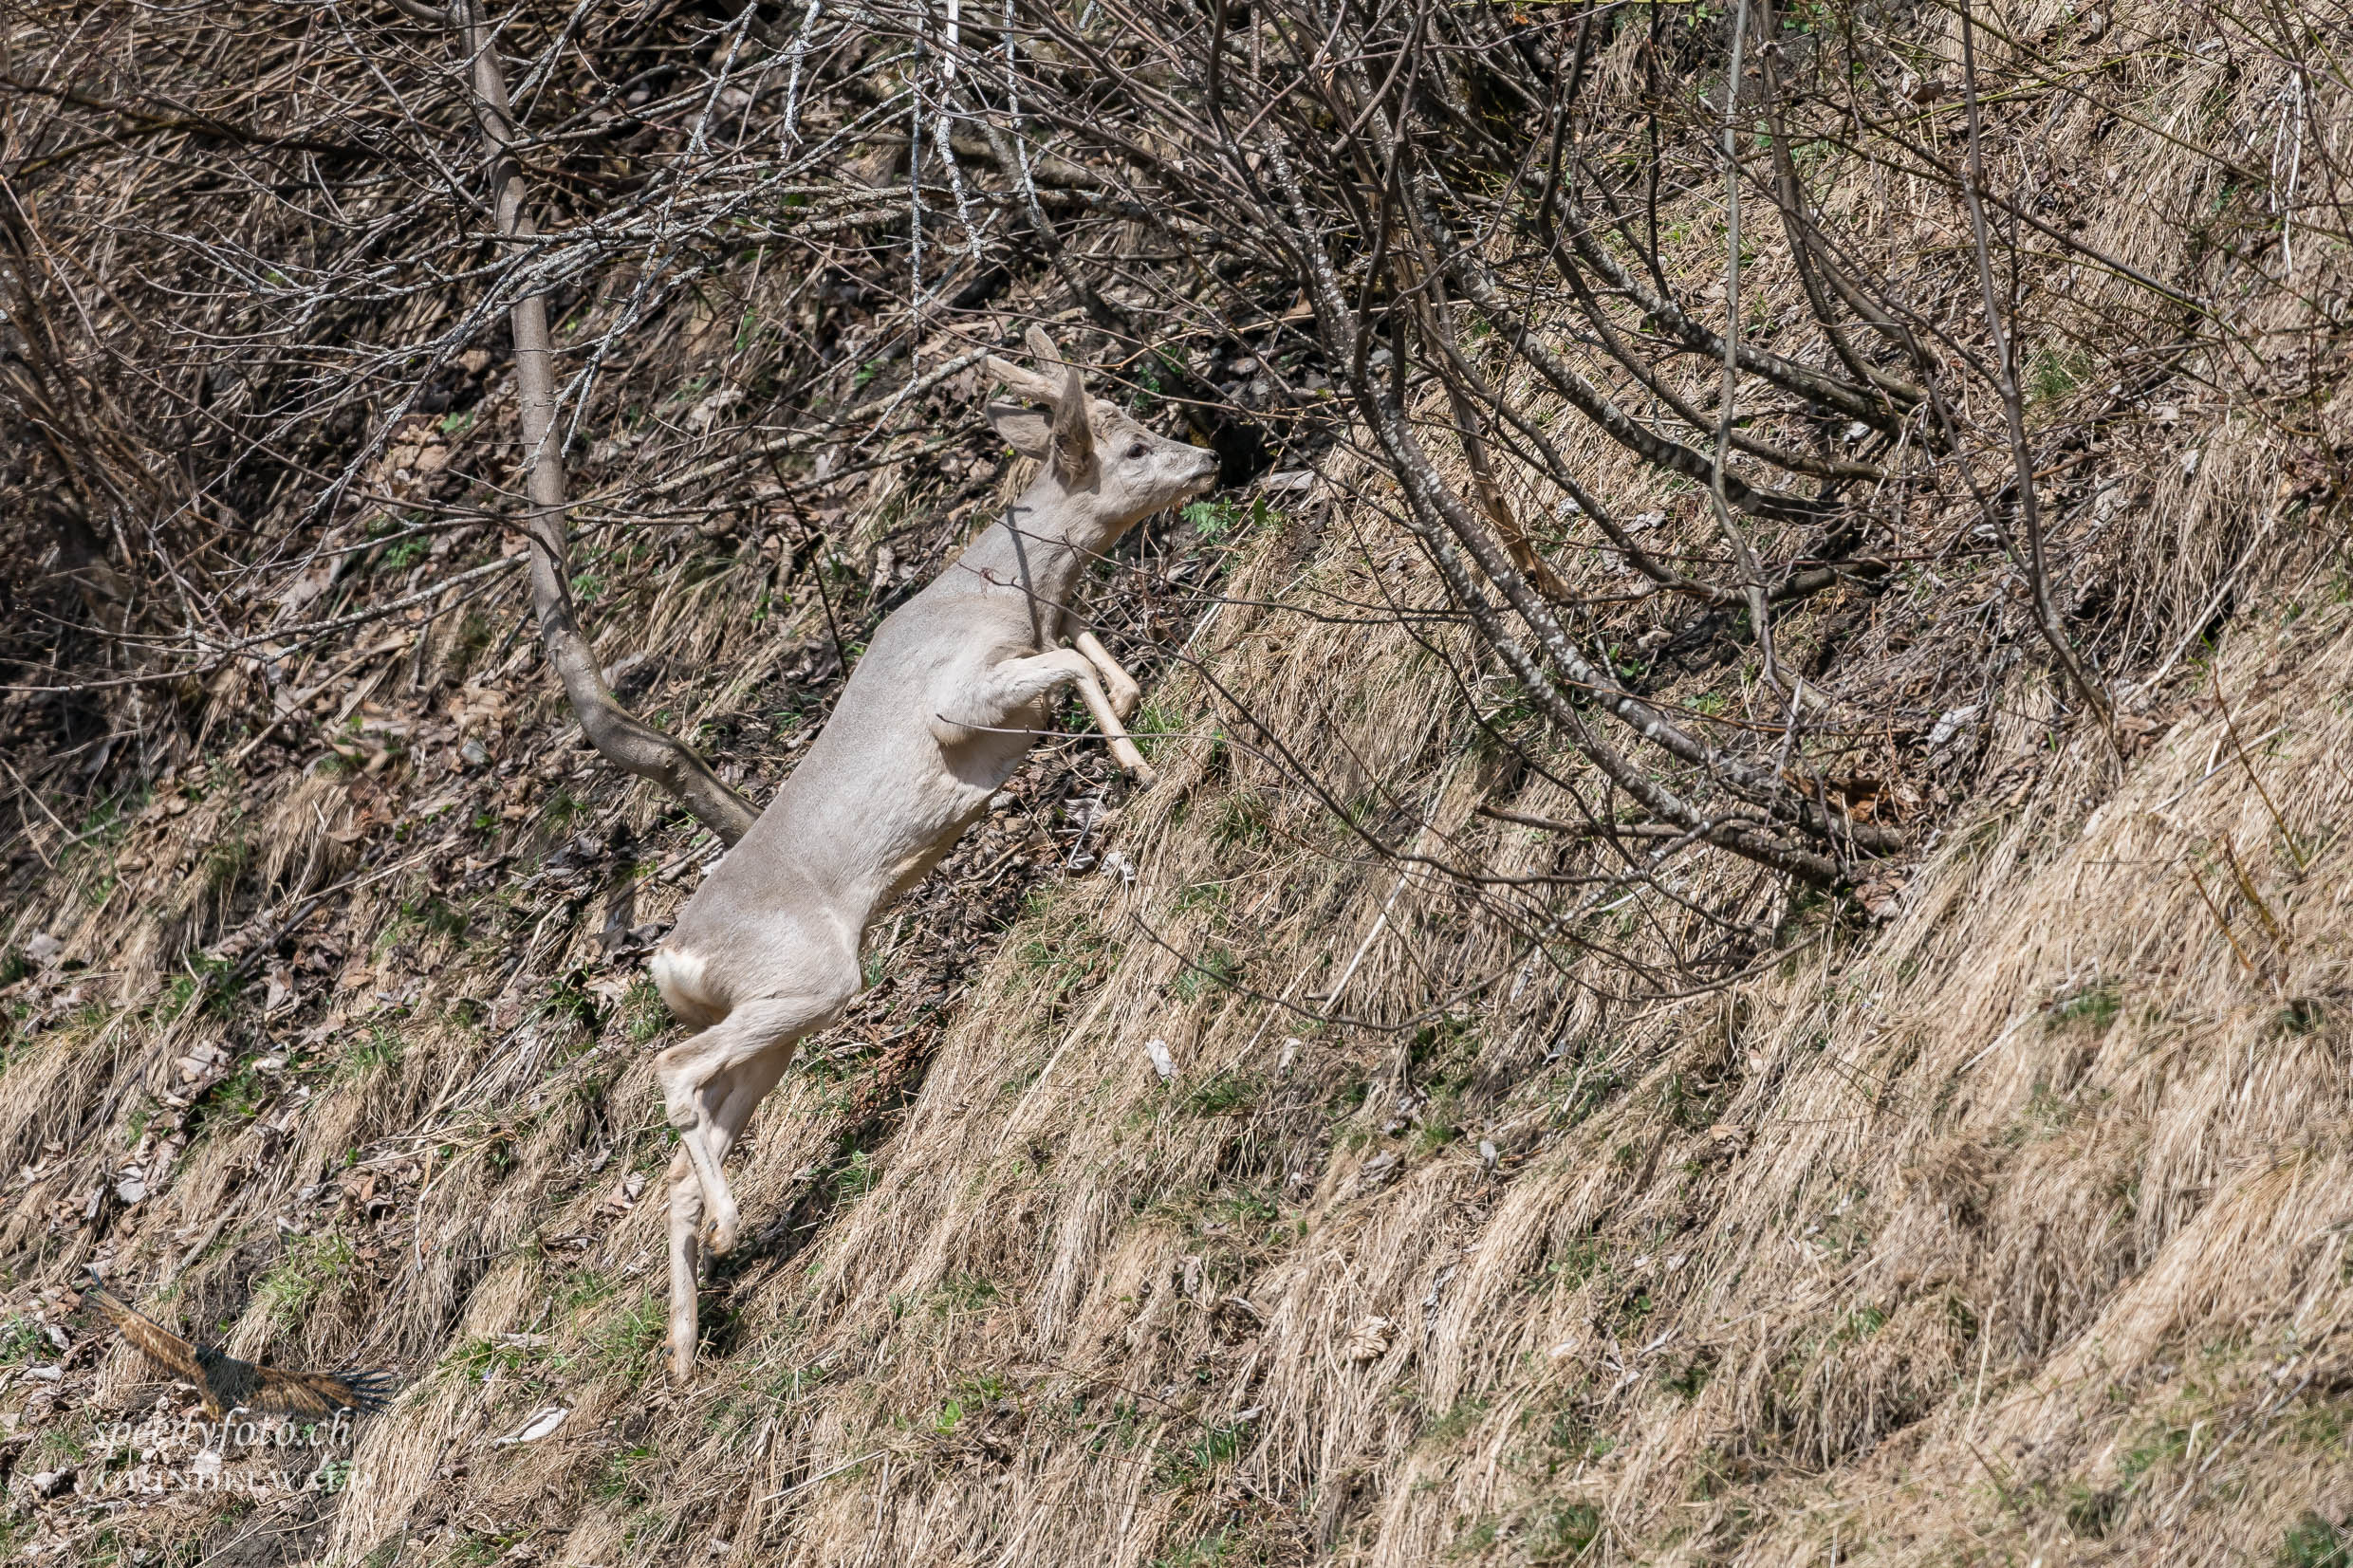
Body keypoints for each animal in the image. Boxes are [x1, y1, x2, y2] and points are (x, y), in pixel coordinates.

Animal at [654, 328, 1223, 1373]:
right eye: (1129, 447)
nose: (1206, 457)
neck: (1004, 594)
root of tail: (672, 958)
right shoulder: (957, 700)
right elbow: (1071, 658)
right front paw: (1131, 760)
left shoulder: (1038, 643)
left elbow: (1085, 641)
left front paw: (1129, 712)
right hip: (809, 978)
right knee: (672, 1071)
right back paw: (721, 1244)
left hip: (776, 1023)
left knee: (682, 1153)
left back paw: (686, 1335)